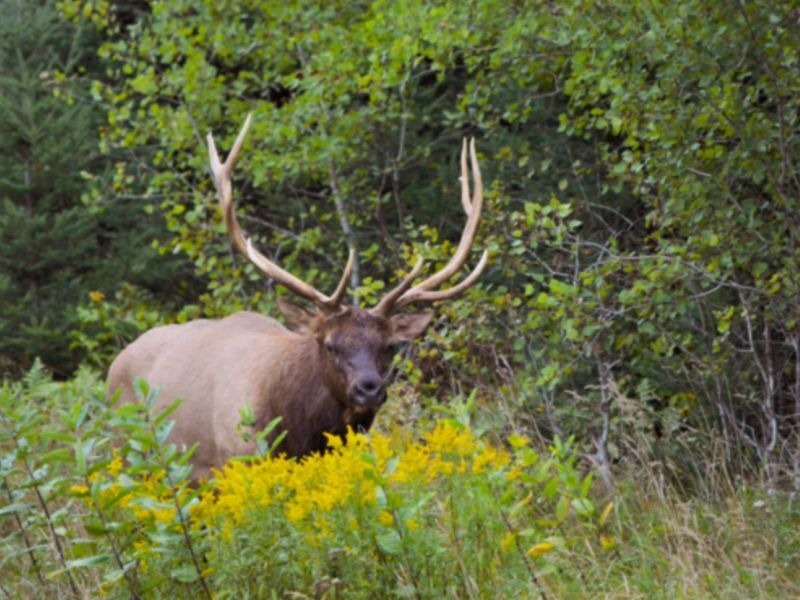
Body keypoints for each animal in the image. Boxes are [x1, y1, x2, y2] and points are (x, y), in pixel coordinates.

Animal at [108, 116, 488, 482]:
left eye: (389, 346)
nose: (369, 389)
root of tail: (115, 363)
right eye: (330, 345)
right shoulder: (236, 458)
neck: (300, 431)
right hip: (127, 453)